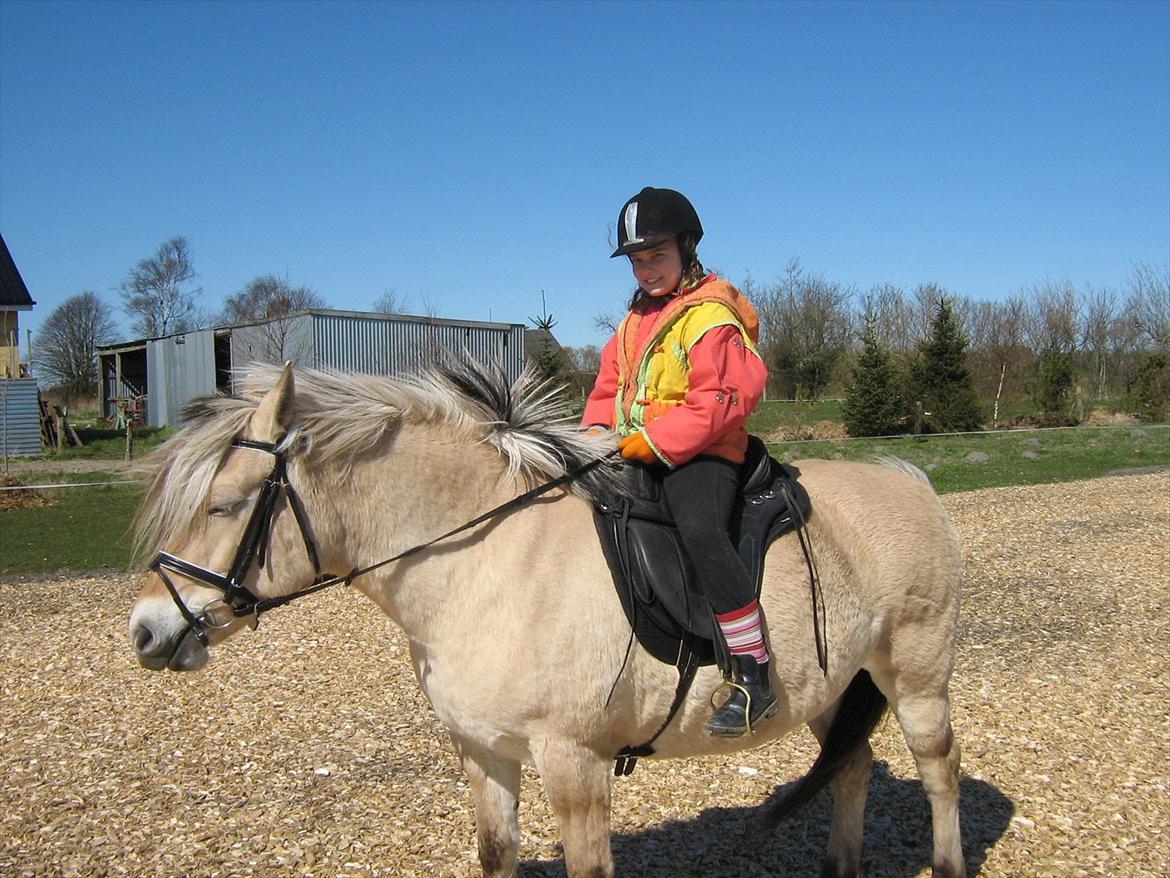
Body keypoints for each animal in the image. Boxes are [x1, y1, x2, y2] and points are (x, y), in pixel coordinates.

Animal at [130, 362, 968, 878]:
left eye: (226, 504)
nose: (146, 630)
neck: (487, 563)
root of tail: (912, 481)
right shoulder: (481, 750)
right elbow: (496, 853)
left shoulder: (575, 761)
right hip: (832, 683)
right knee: (852, 767)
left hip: (916, 673)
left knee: (939, 770)